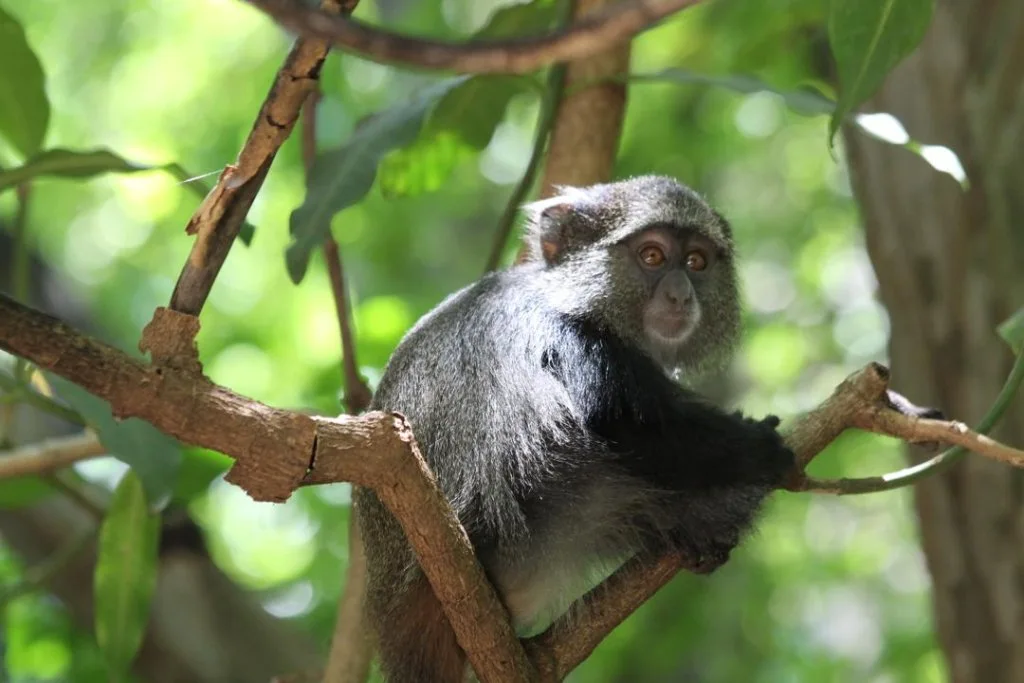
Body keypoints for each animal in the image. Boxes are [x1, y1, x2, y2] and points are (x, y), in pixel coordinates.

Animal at [353, 176, 797, 681]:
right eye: (652, 256)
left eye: (697, 262)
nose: (681, 295)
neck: (566, 291)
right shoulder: (574, 340)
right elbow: (625, 429)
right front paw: (762, 448)